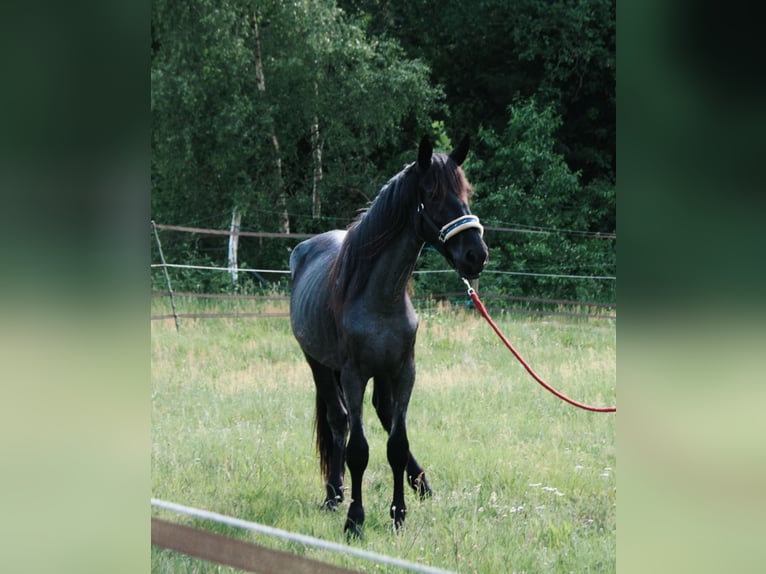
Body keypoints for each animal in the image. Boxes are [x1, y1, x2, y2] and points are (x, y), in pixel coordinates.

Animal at [289, 136, 488, 538]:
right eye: (433, 194)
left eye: (466, 192)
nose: (476, 254)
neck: (380, 298)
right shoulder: (353, 374)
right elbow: (359, 450)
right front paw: (355, 519)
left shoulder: (403, 370)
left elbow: (396, 443)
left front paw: (399, 514)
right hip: (319, 364)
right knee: (338, 421)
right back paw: (334, 494)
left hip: (380, 374)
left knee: (381, 413)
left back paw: (420, 484)